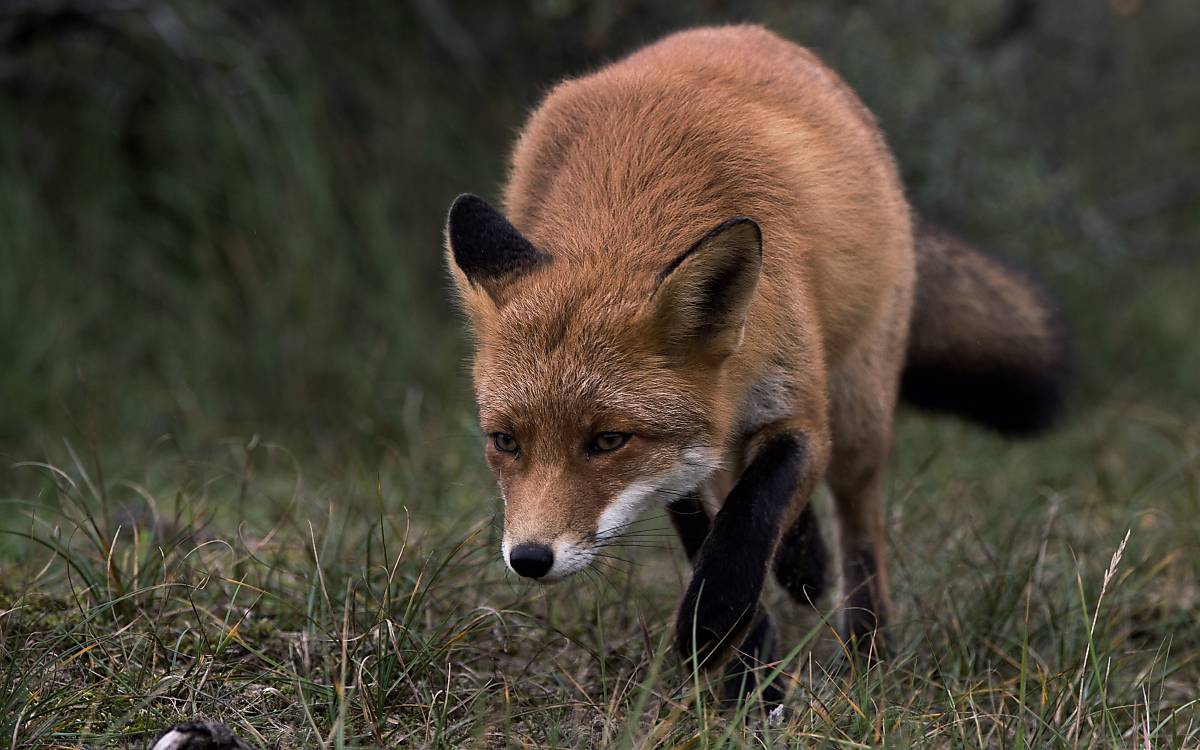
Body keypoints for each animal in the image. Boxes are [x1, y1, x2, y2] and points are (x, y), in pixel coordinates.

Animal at [444, 24, 1070, 696]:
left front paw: (715, 620)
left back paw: (869, 649)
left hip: (859, 410)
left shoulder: (802, 413)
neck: (630, 187)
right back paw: (802, 572)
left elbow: (752, 511)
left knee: (860, 526)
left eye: (608, 440)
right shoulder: (695, 443)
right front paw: (745, 656)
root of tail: (750, 31)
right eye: (505, 442)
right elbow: (703, 523)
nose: (529, 558)